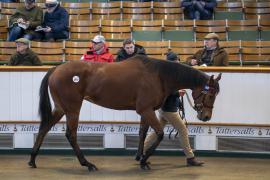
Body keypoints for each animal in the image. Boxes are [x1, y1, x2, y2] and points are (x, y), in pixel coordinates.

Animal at [28, 55, 221, 172]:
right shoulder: (145, 110)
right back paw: (87, 164)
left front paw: (141, 158)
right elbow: (159, 134)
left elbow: (143, 133)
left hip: (61, 108)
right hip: (73, 108)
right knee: (71, 134)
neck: (158, 75)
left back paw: (32, 160)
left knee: (44, 128)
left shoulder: (146, 111)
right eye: (211, 94)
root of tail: (56, 69)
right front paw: (143, 160)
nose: (206, 117)